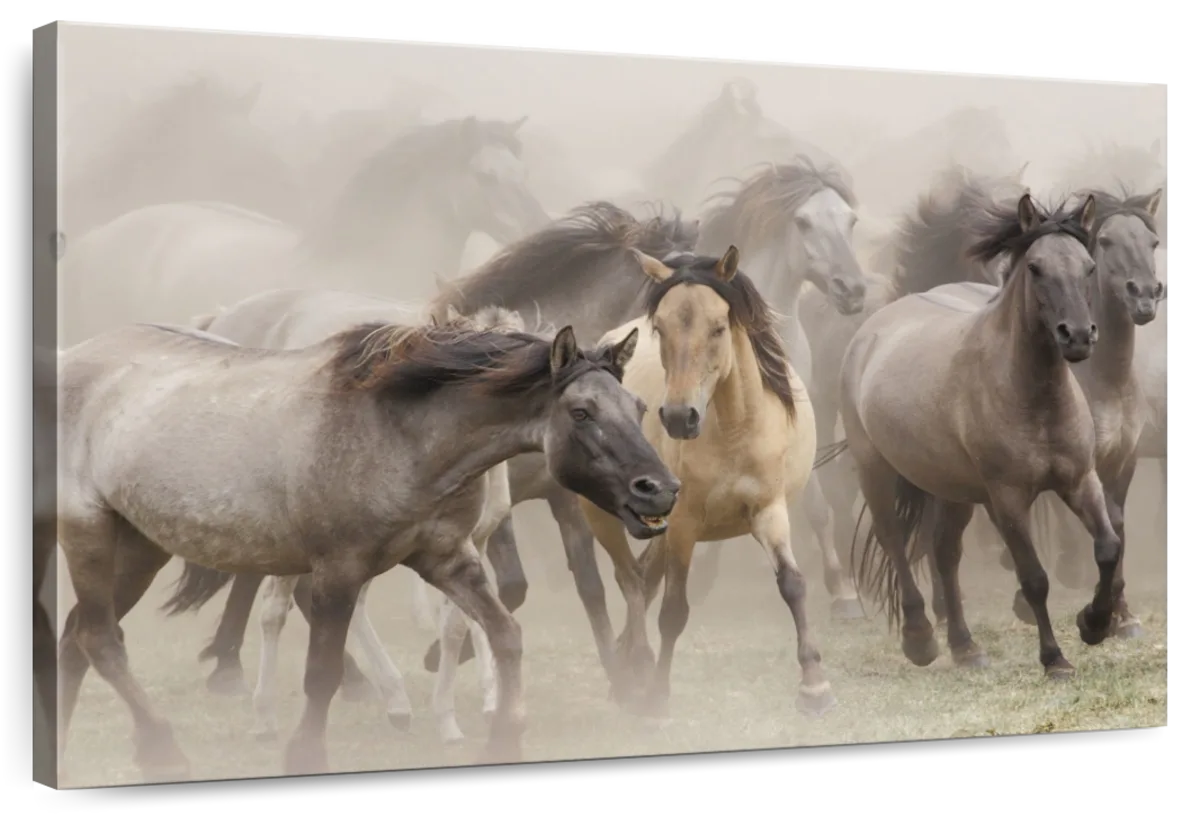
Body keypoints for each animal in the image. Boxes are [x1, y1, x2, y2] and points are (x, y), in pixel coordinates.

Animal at [580, 245, 833, 715]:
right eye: (659, 328)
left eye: (718, 327)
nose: (680, 417)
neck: (735, 430)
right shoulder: (684, 525)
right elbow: (674, 610)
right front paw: (657, 697)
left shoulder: (769, 511)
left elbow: (792, 585)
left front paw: (815, 687)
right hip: (604, 517)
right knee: (631, 582)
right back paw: (630, 675)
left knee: (642, 578)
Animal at [839, 192, 1126, 679]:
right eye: (1036, 268)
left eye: (1089, 267)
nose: (1078, 337)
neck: (1031, 396)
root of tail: (870, 332)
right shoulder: (1006, 498)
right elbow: (1034, 578)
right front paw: (1055, 659)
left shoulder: (1079, 480)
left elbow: (1107, 548)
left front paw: (1093, 623)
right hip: (874, 470)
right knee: (894, 540)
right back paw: (920, 640)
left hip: (951, 488)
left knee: (944, 553)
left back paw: (965, 646)